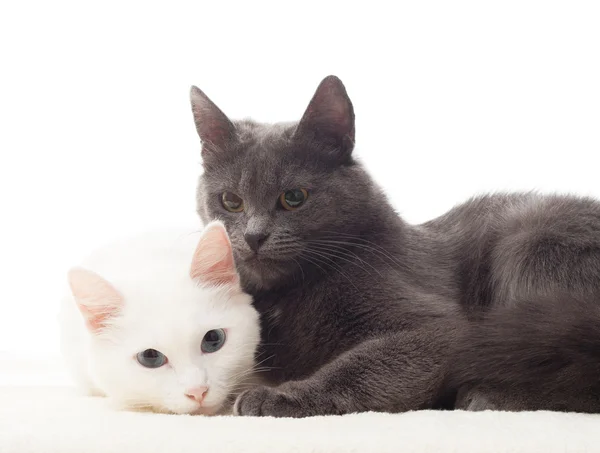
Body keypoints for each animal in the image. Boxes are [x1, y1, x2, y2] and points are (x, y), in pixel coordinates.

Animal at [190, 75, 600, 416]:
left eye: (294, 197)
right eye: (230, 201)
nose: (254, 236)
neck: (284, 297)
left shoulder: (439, 329)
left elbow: (360, 367)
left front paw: (278, 396)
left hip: (532, 243)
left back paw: (487, 396)